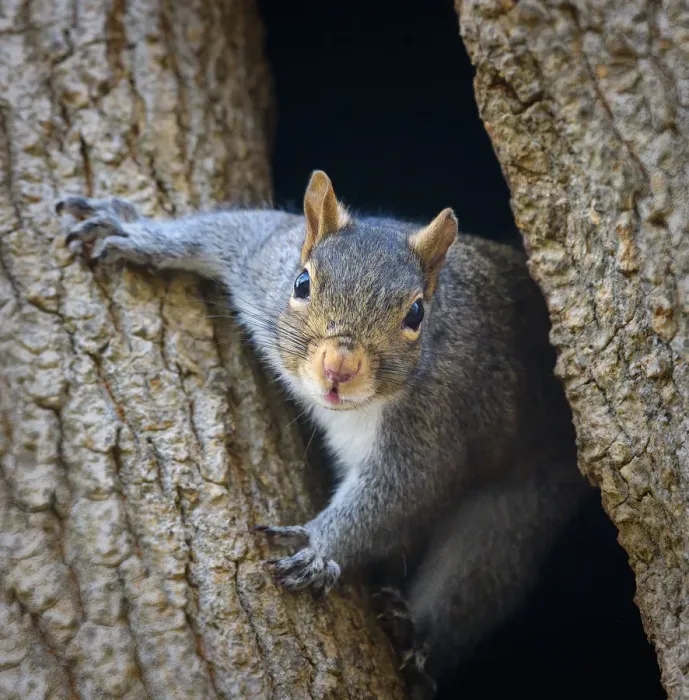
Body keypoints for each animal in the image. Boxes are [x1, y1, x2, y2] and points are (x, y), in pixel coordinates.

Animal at [56, 171, 589, 697]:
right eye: (302, 282)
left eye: (416, 314)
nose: (340, 366)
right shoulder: (263, 261)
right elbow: (225, 231)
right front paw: (135, 232)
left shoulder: (437, 422)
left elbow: (399, 496)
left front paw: (318, 549)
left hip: (518, 508)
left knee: (476, 578)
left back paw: (413, 637)